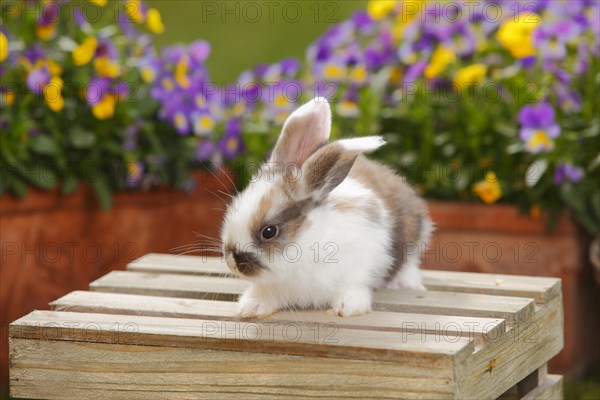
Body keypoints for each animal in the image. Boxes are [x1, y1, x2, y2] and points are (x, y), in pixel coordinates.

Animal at [220, 95, 432, 318]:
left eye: (269, 232)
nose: (232, 260)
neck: (306, 243)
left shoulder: (360, 267)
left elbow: (353, 288)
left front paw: (348, 308)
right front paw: (252, 307)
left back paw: (406, 284)